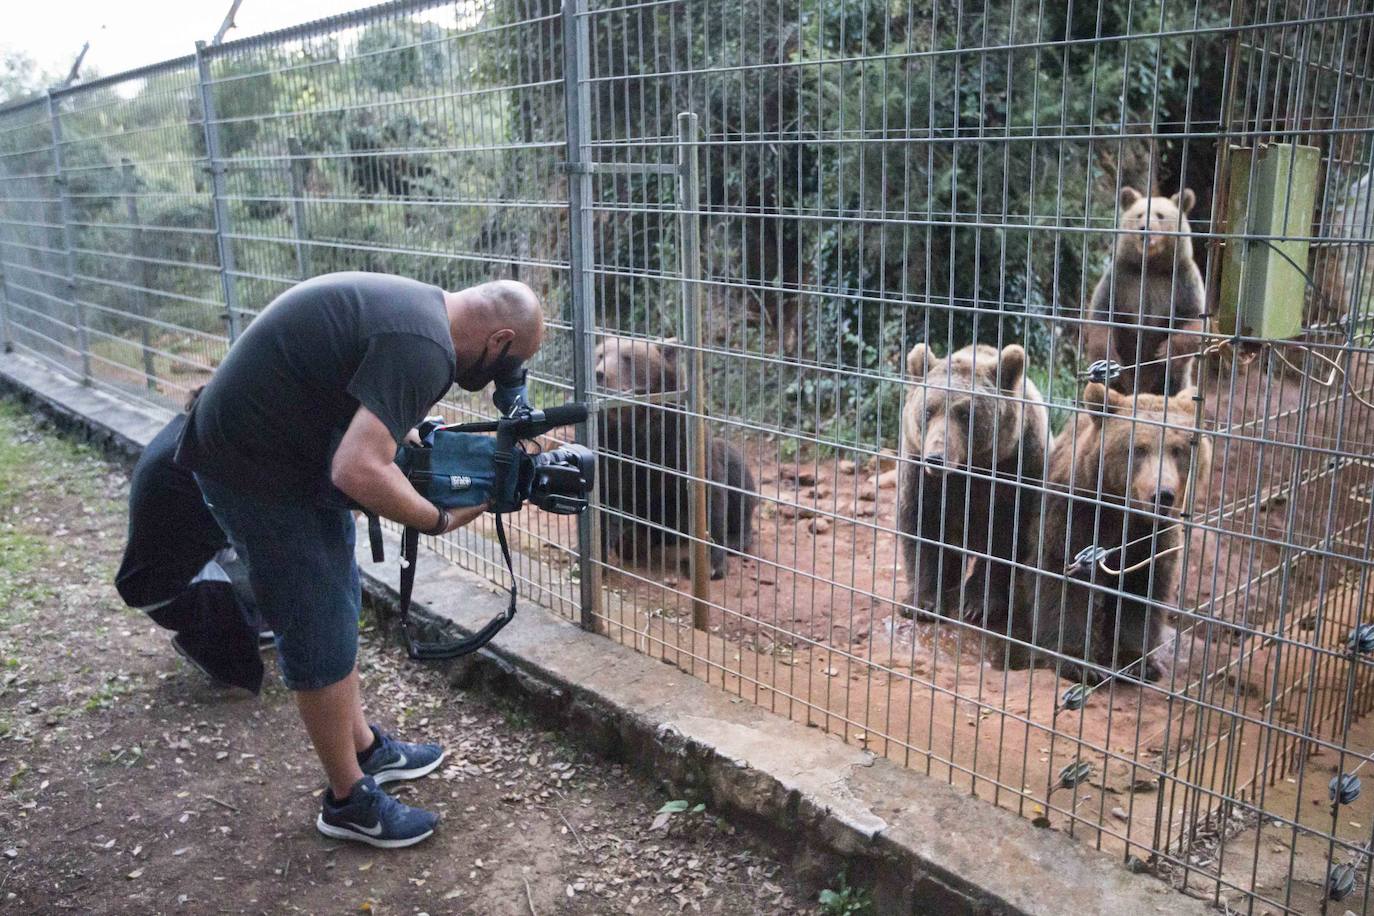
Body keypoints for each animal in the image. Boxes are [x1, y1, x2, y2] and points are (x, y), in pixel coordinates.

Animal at [593, 336, 758, 579]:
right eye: (600, 355)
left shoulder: (679, 441)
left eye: (628, 357)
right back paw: (631, 539)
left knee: (737, 474)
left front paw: (711, 564)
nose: (600, 374)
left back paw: (736, 539)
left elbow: (710, 494)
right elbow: (604, 496)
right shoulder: (608, 446)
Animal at [895, 343, 1044, 631]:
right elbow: (920, 526)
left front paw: (979, 604)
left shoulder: (1019, 466)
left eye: (965, 414)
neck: (969, 469)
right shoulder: (921, 473)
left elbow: (1005, 537)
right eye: (928, 411)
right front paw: (923, 603)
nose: (936, 458)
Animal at [1011, 381, 1214, 681]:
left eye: (1178, 449)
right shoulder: (1076, 515)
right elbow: (1064, 577)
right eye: (1139, 448)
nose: (1162, 494)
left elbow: (1141, 589)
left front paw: (1139, 662)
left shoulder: (1152, 537)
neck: (1122, 512)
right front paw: (1077, 662)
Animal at [1082, 188, 1203, 395]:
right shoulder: (1122, 280)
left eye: (1160, 215)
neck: (1151, 266)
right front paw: (1107, 365)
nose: (1144, 229)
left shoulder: (1182, 281)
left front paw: (1164, 352)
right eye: (1139, 215)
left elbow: (1194, 319)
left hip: (1170, 380)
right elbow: (1103, 316)